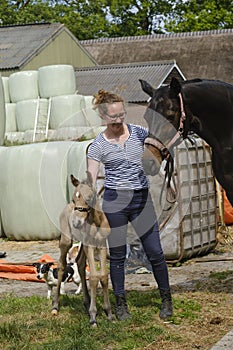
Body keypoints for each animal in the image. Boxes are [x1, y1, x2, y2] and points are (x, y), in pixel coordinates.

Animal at [52, 172, 112, 326]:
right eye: (74, 199)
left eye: (89, 198)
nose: (76, 223)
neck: (96, 221)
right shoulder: (90, 246)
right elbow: (94, 277)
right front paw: (93, 317)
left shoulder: (102, 245)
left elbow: (103, 276)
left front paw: (108, 313)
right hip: (67, 241)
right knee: (61, 265)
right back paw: (55, 306)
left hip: (83, 245)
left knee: (79, 263)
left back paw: (86, 303)